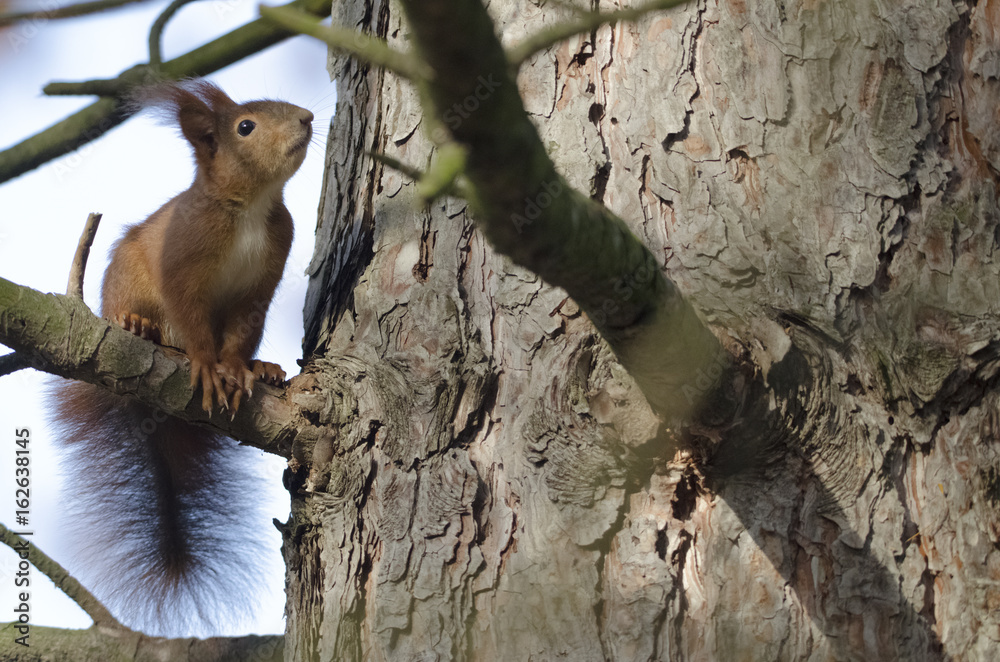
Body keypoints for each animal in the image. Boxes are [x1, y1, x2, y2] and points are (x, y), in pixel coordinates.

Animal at [49, 80, 313, 635]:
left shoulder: (261, 283)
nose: (306, 117)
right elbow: (189, 315)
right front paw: (208, 366)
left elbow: (240, 332)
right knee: (154, 322)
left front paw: (238, 368)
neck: (252, 206)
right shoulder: (183, 259)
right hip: (125, 283)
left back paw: (264, 370)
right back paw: (141, 327)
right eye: (245, 127)